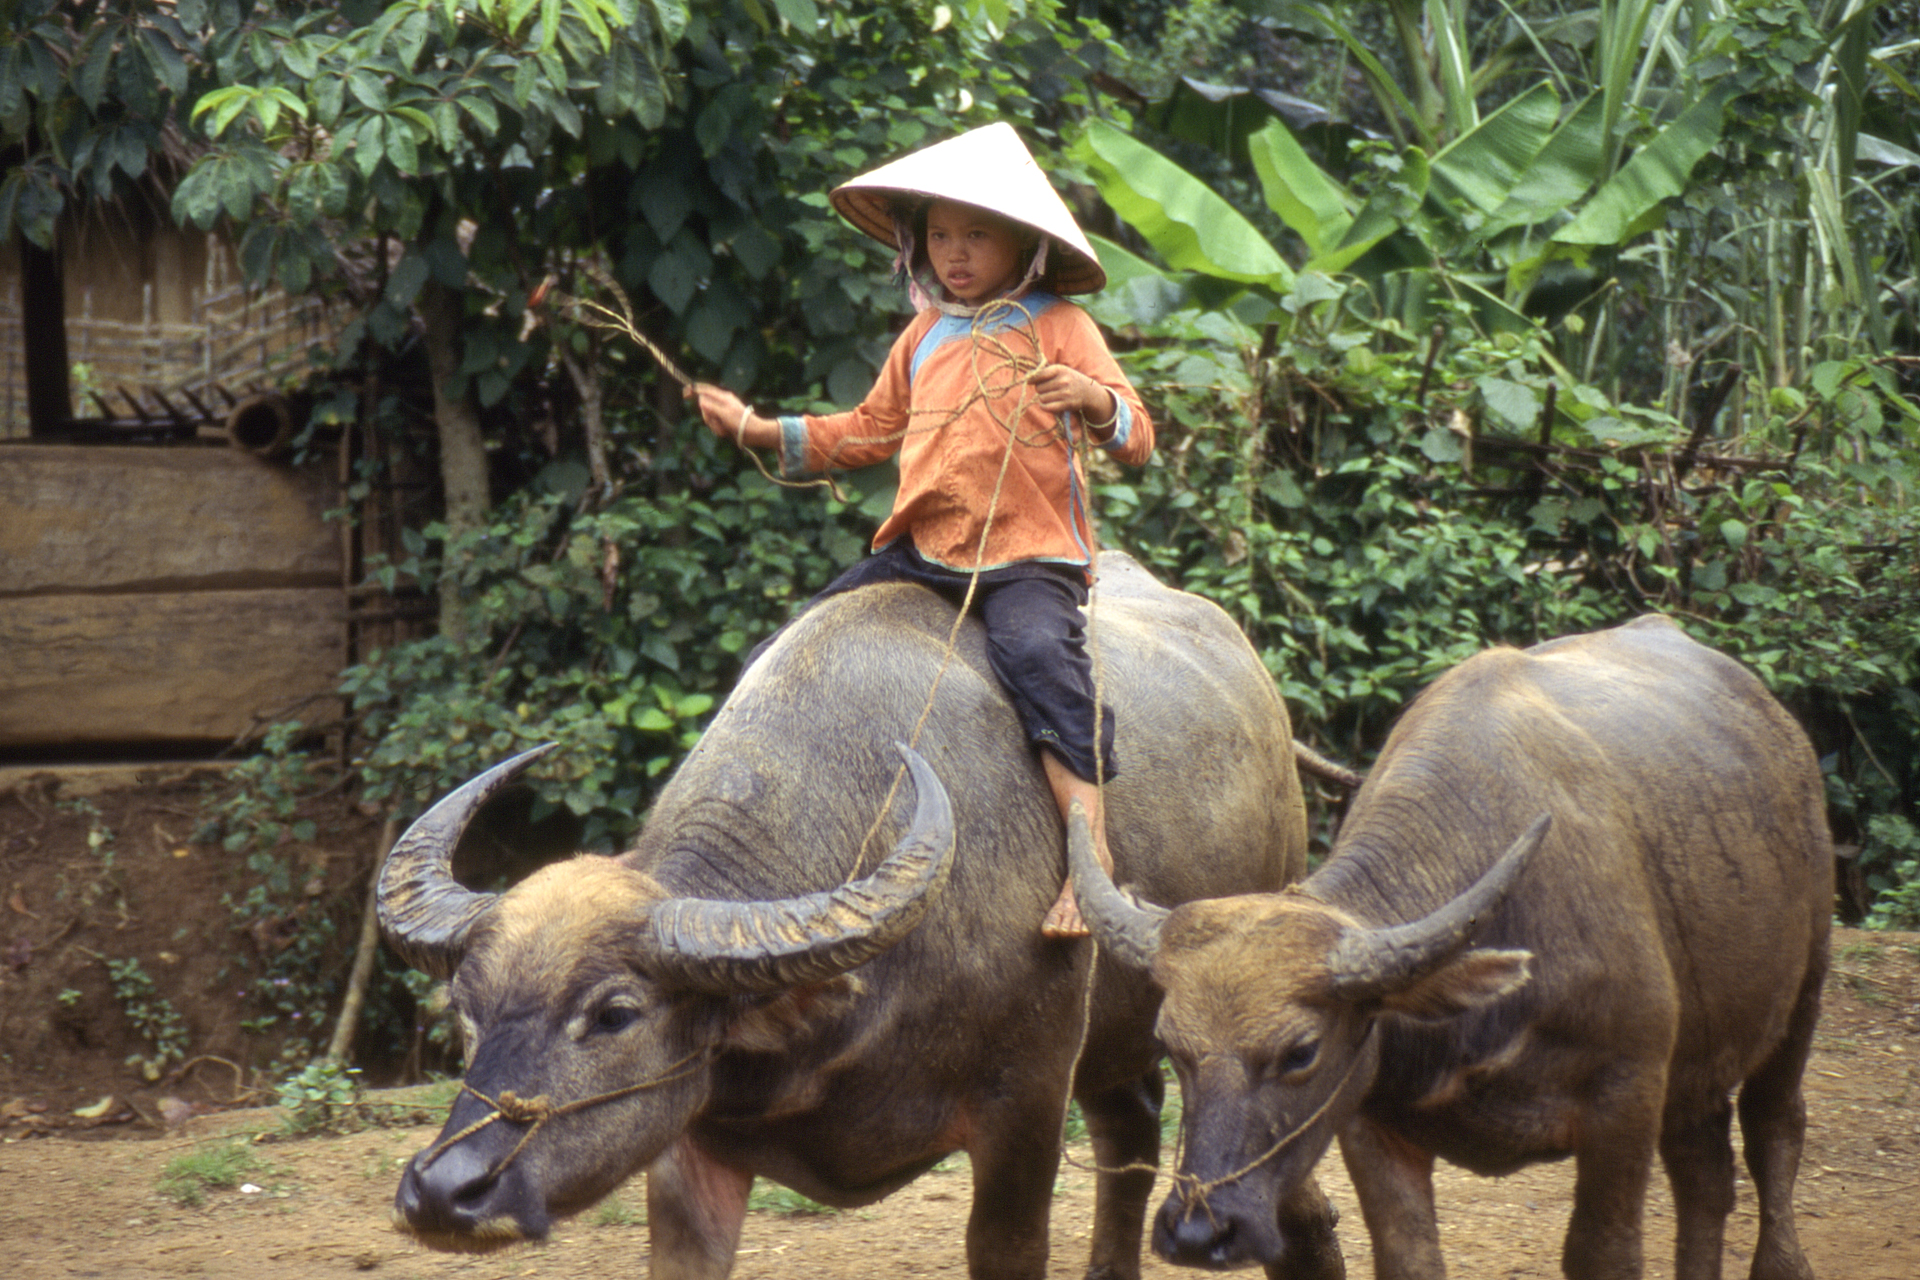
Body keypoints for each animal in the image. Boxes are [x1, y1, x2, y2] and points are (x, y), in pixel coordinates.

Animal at [366, 556, 1344, 1280]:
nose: (445, 1193)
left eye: (614, 1014)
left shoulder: (1025, 1103)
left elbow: (1006, 1244)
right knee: (1129, 1128)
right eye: (468, 1014)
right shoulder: (691, 1135)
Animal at [1075, 614, 1835, 1280]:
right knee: (1705, 1173)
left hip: (1803, 991)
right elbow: (1409, 1259)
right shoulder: (1372, 1124)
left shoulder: (1627, 1094)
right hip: (1702, 1057)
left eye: (1301, 1052)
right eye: (1170, 1044)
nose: (1199, 1232)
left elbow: (1605, 1253)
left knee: (1774, 1129)